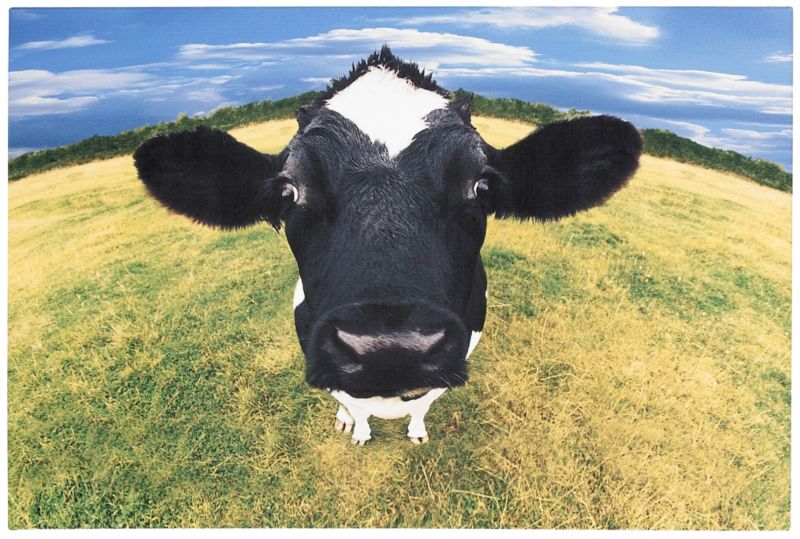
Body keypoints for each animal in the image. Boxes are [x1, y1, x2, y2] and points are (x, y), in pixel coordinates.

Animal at [133, 46, 641, 445]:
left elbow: (424, 403)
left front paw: (415, 430)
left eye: (481, 186)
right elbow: (353, 403)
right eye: (289, 191)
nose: (389, 348)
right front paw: (357, 429)